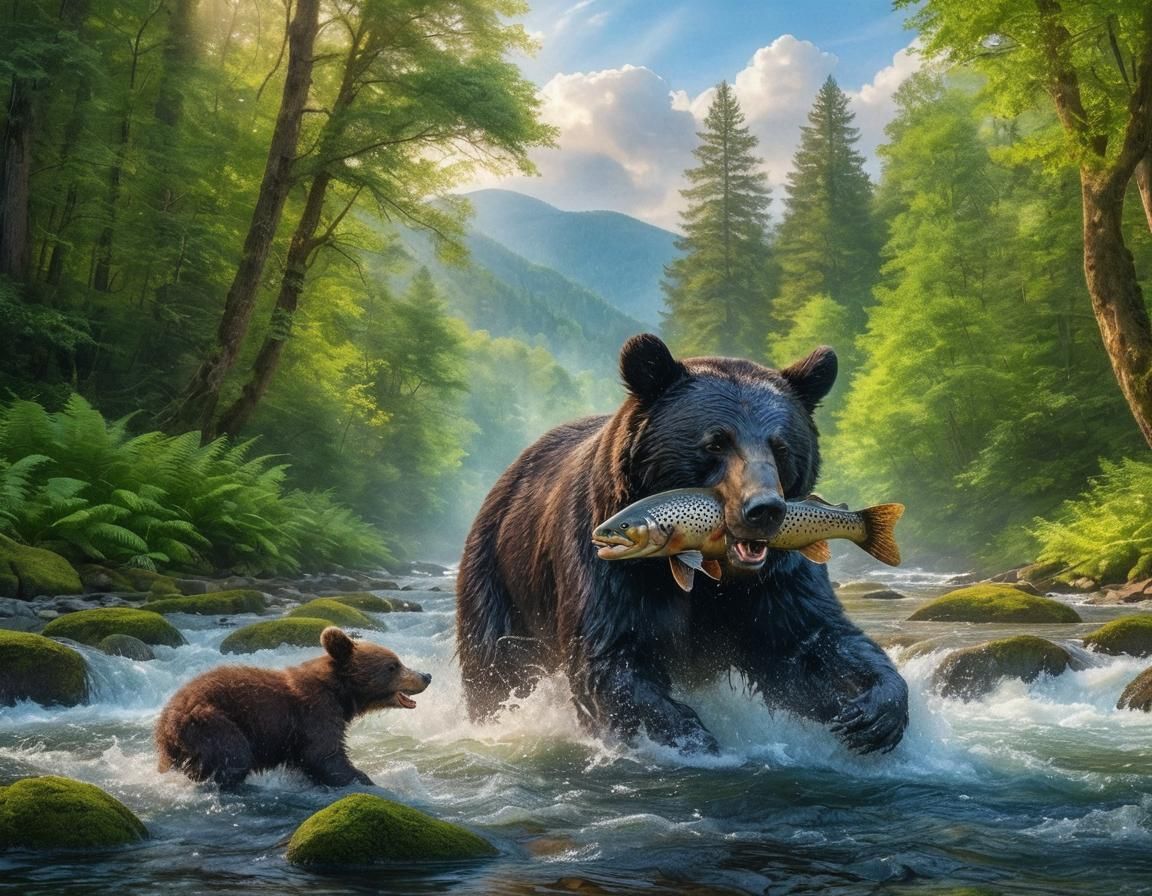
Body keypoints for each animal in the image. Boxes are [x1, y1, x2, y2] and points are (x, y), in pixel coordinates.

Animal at [155, 627, 431, 788]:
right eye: (393, 665)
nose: (426, 675)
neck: (341, 694)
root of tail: (166, 721)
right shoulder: (315, 713)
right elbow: (324, 755)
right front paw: (366, 778)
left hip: (172, 750)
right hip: (211, 723)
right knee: (233, 756)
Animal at [456, 333, 908, 755]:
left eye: (780, 447)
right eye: (716, 442)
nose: (765, 509)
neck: (715, 571)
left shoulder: (777, 577)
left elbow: (809, 643)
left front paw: (876, 710)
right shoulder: (610, 567)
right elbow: (614, 658)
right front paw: (697, 740)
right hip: (499, 577)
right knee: (496, 665)